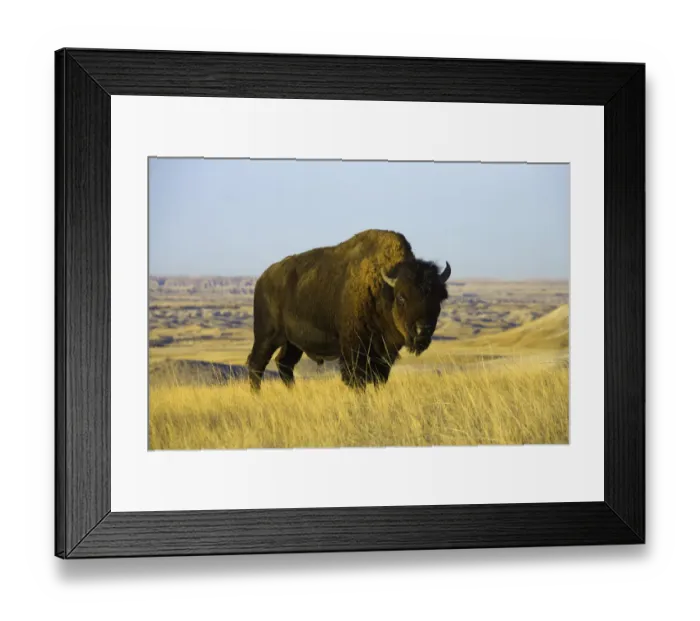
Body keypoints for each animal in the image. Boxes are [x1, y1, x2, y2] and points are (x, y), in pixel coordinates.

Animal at [246, 229, 451, 390]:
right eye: (401, 297)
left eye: (438, 298)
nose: (423, 330)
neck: (382, 289)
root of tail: (262, 279)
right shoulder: (354, 349)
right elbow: (357, 379)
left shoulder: (384, 353)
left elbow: (379, 378)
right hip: (267, 336)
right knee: (257, 363)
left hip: (293, 342)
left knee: (284, 363)